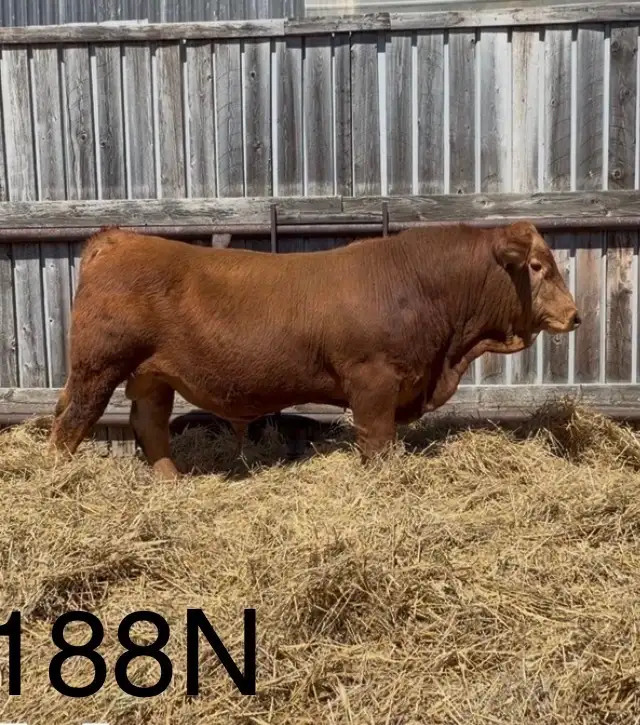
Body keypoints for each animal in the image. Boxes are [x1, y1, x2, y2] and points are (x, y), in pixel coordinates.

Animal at [49, 221, 580, 480]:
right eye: (537, 265)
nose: (575, 314)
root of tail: (117, 239)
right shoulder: (373, 382)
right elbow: (377, 442)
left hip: (152, 376)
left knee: (149, 426)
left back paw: (170, 481)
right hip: (98, 367)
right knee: (71, 424)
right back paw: (59, 483)